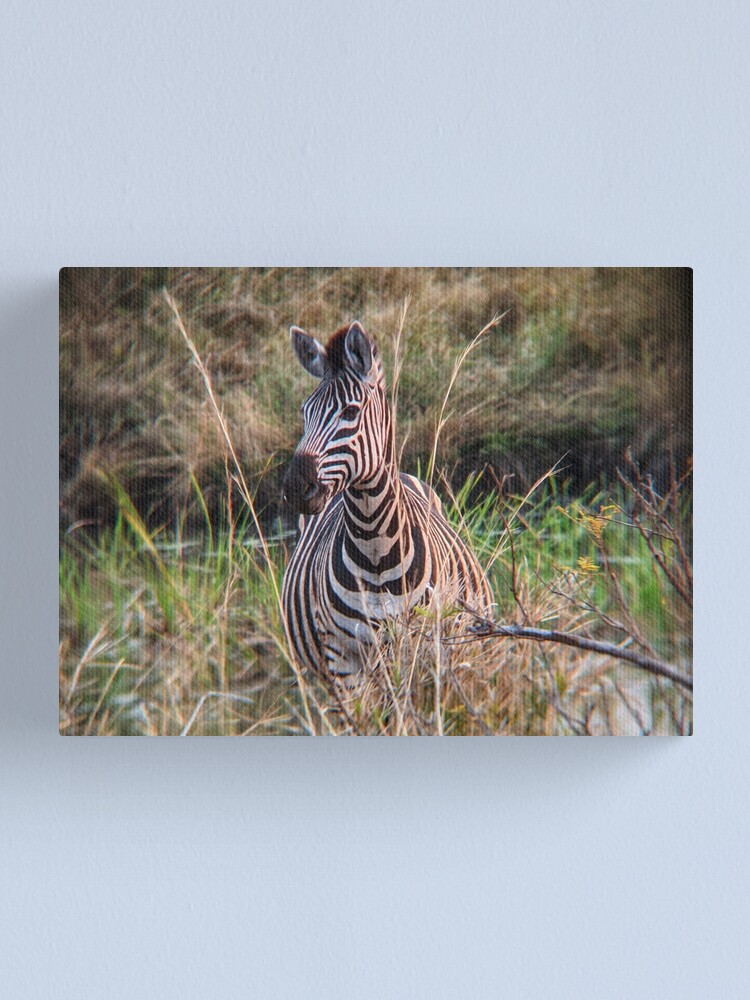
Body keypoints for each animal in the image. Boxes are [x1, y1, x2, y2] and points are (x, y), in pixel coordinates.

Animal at [282, 320, 494, 680]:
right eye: (303, 412)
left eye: (350, 411)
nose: (296, 488)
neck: (374, 549)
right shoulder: (342, 659)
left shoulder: (424, 647)